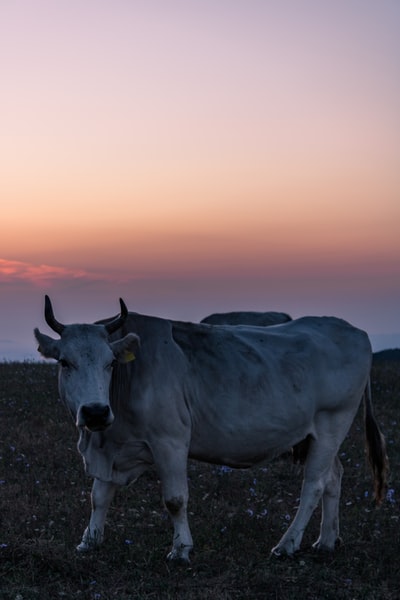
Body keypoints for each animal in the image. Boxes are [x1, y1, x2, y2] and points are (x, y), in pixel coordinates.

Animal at [35, 298, 388, 564]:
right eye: (64, 362)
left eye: (110, 362)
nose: (95, 411)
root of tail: (353, 330)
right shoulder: (112, 445)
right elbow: (99, 496)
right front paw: (90, 540)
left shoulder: (170, 441)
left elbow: (175, 499)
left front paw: (180, 549)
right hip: (319, 435)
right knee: (334, 477)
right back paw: (327, 540)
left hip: (332, 423)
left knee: (314, 485)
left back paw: (287, 544)